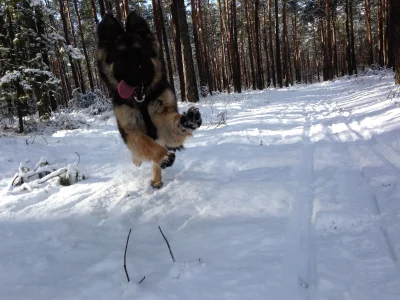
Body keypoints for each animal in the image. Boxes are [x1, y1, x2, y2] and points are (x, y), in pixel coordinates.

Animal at [96, 12, 202, 189]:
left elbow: (174, 124)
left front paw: (189, 120)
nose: (133, 80)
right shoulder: (130, 130)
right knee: (139, 152)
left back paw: (156, 178)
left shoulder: (163, 120)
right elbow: (144, 142)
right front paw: (164, 157)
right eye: (120, 59)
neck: (142, 103)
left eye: (141, 57)